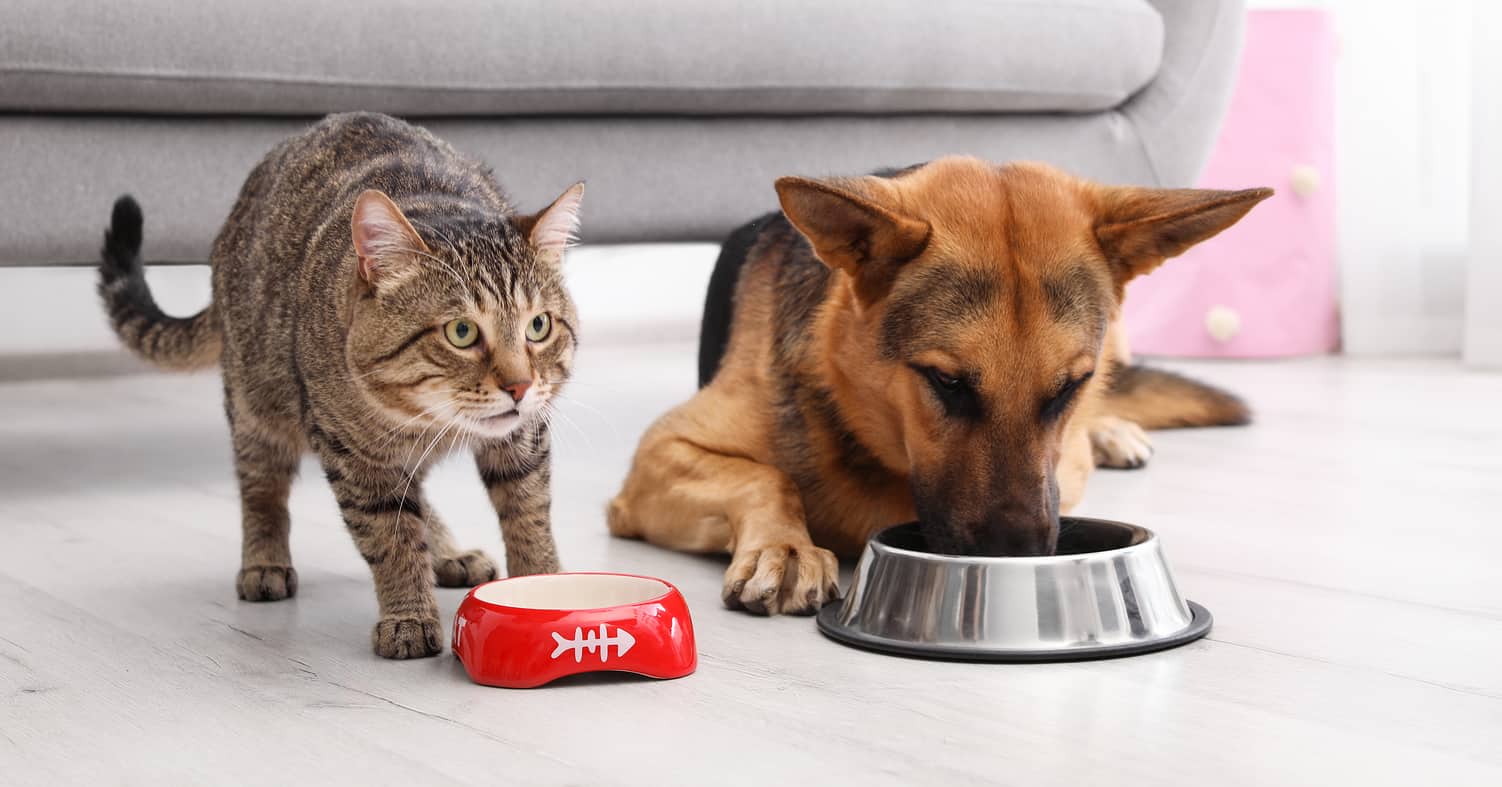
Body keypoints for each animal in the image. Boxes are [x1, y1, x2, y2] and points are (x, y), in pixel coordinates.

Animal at [96, 111, 582, 657]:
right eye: (461, 332)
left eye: (538, 326)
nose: (519, 386)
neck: (423, 418)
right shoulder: (353, 457)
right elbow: (390, 538)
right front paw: (408, 615)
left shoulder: (524, 438)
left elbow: (528, 513)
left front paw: (545, 585)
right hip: (255, 402)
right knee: (261, 486)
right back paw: (264, 560)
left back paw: (445, 550)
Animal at [606, 158, 1267, 615]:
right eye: (946, 382)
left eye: (1068, 386)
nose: (1016, 560)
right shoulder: (656, 457)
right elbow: (764, 476)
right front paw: (785, 547)